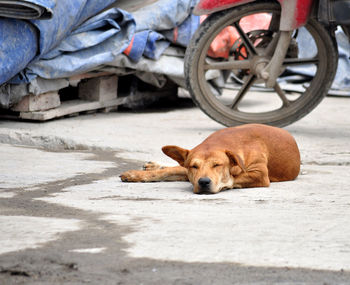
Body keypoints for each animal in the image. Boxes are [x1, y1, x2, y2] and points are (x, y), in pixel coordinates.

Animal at [120, 123, 300, 194]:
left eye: (217, 165)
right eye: (194, 166)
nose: (204, 182)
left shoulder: (260, 175)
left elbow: (233, 178)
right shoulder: (188, 169)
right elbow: (166, 172)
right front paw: (138, 174)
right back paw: (155, 165)